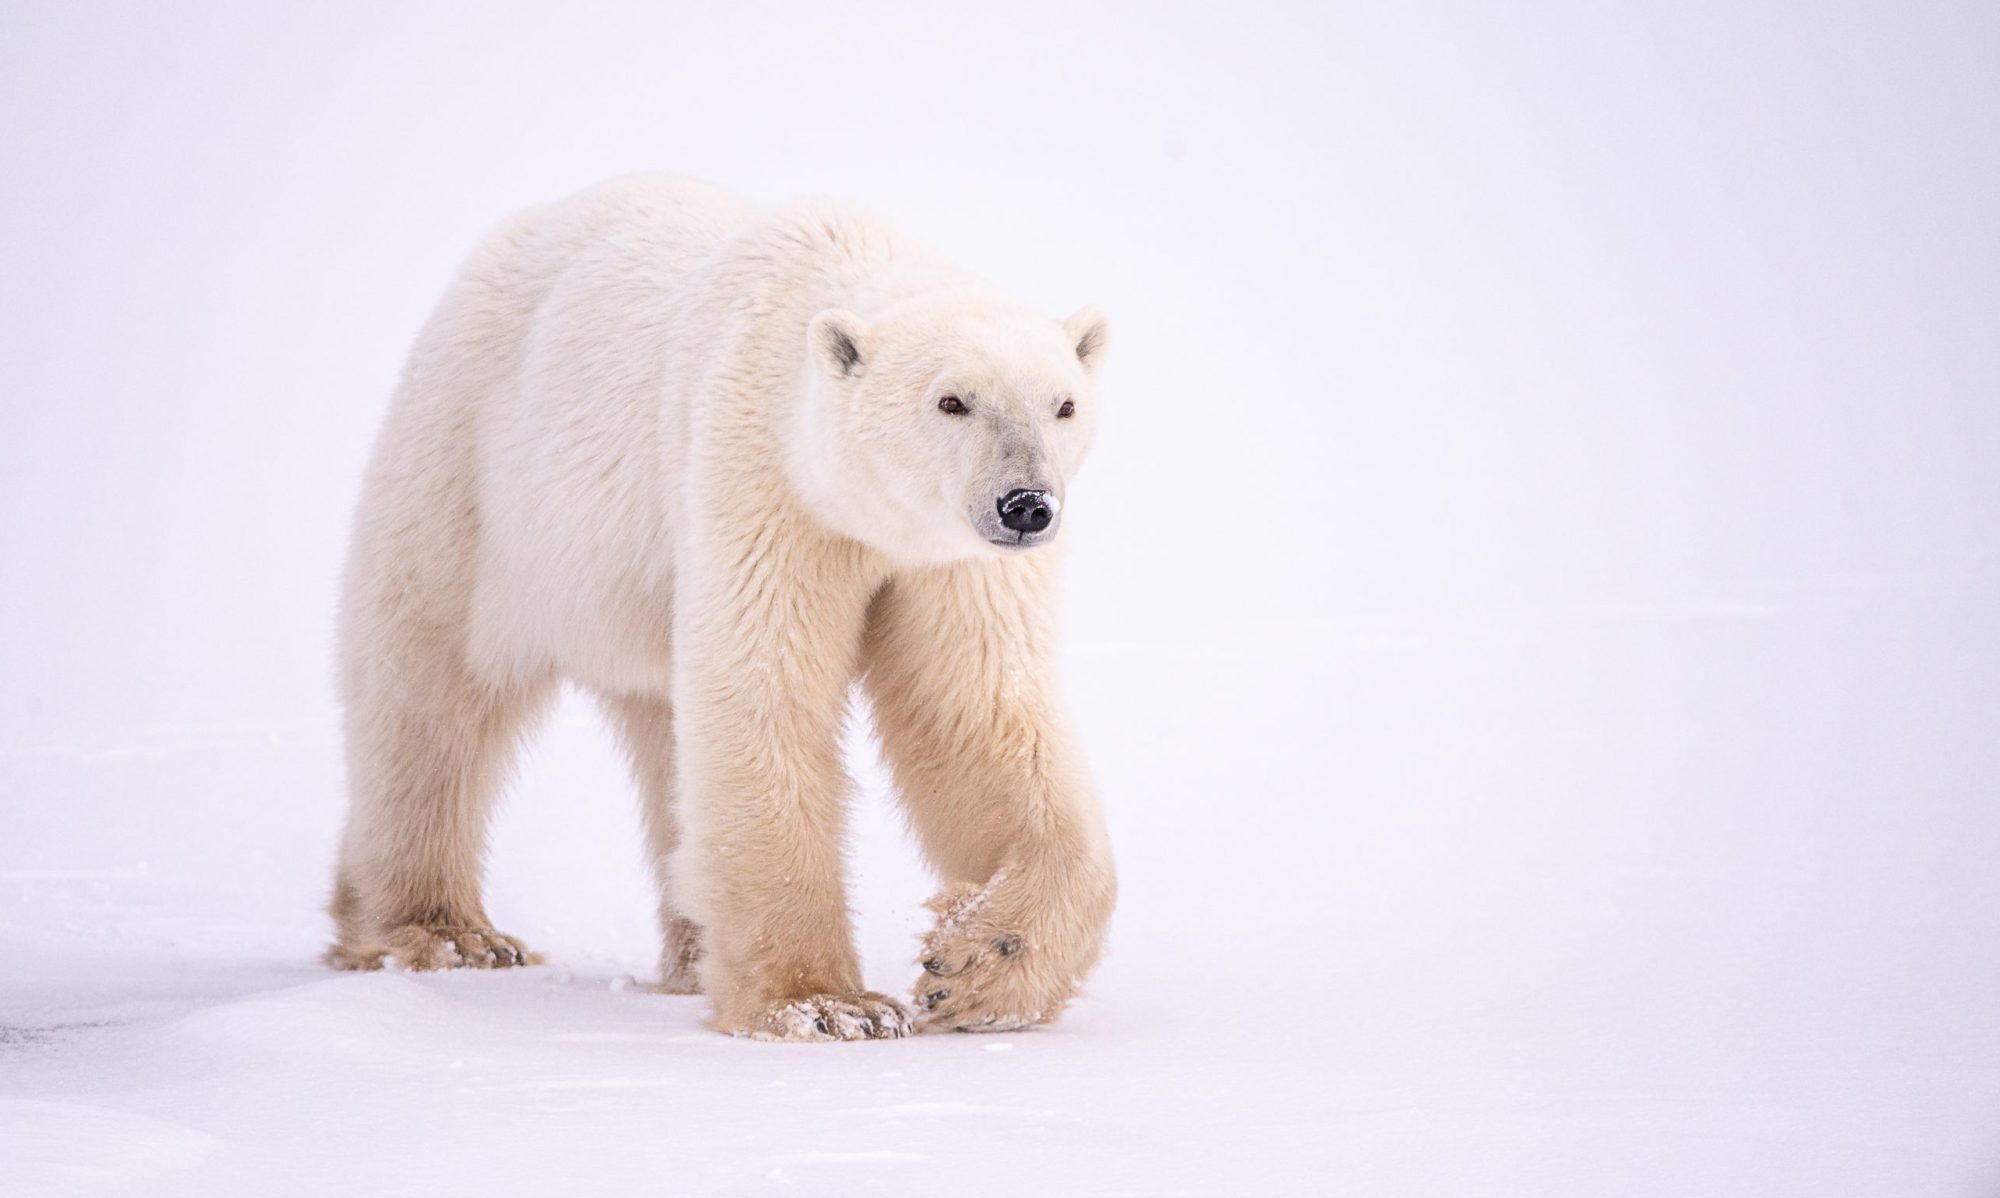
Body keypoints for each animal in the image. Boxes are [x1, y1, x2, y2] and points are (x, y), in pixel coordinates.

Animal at [326, 175, 1117, 1040]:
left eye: (1064, 405)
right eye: (951, 401)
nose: (1026, 505)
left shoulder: (949, 563)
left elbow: (976, 714)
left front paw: (977, 969)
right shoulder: (761, 483)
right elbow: (764, 697)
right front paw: (829, 1006)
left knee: (664, 743)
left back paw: (687, 954)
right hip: (475, 481)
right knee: (430, 697)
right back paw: (442, 932)